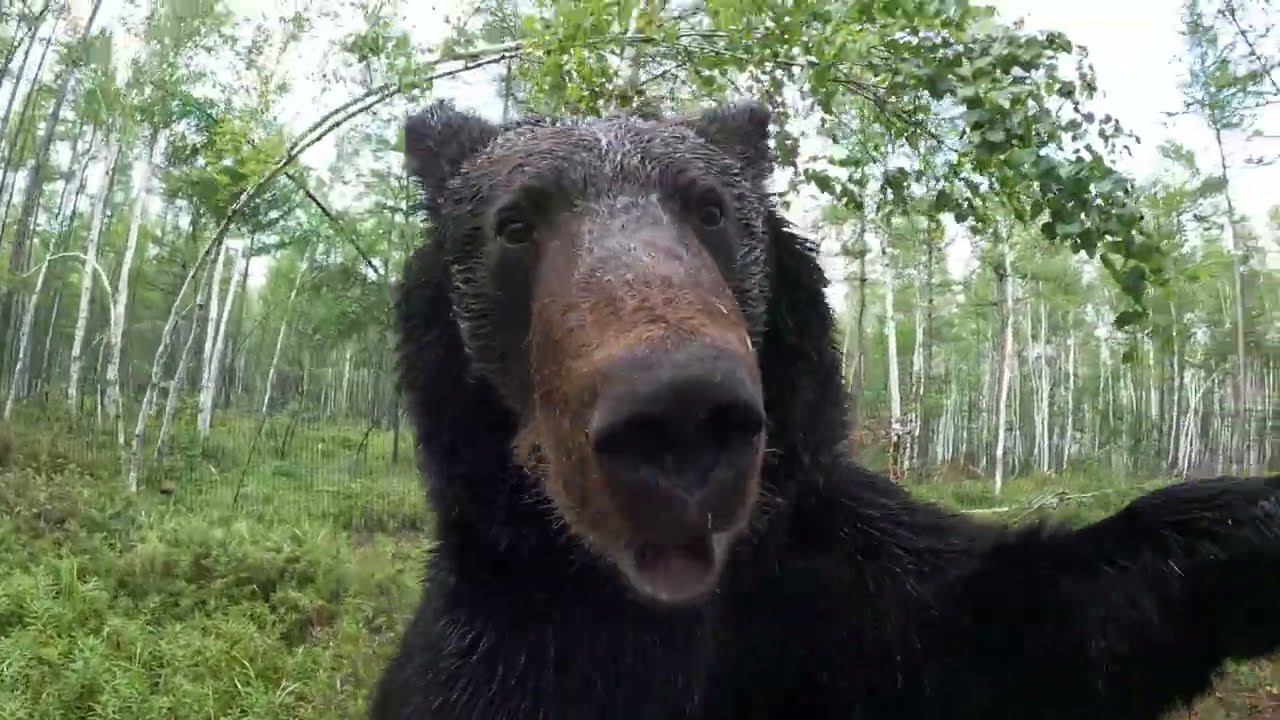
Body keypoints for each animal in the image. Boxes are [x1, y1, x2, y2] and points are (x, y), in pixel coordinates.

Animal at [371, 98, 1280, 720]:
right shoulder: (509, 653)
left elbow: (1051, 611)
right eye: (513, 224)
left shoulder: (864, 602)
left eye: (711, 207)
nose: (677, 417)